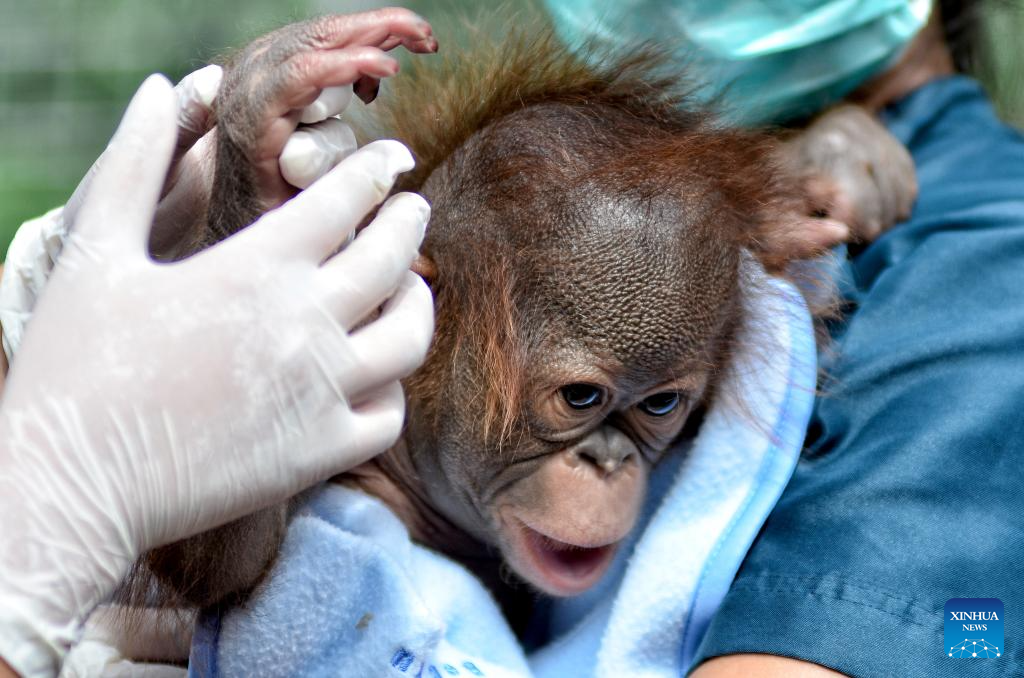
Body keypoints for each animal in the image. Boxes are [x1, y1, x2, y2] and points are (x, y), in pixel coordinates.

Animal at [121, 12, 917, 625]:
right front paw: (261, 121)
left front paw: (837, 162)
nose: (609, 460)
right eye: (581, 397)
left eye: (660, 405)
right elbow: (223, 556)